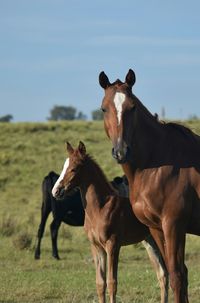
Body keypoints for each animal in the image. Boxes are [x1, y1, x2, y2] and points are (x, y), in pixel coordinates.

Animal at [52, 142, 169, 303]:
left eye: (74, 168)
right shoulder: (96, 247)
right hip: (150, 241)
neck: (100, 208)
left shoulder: (112, 245)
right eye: (64, 166)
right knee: (163, 275)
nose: (56, 191)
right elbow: (100, 283)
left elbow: (112, 282)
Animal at [99, 69, 200, 303]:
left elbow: (177, 276)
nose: (121, 151)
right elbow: (178, 274)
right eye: (104, 108)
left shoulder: (174, 225)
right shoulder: (156, 228)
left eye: (132, 107)